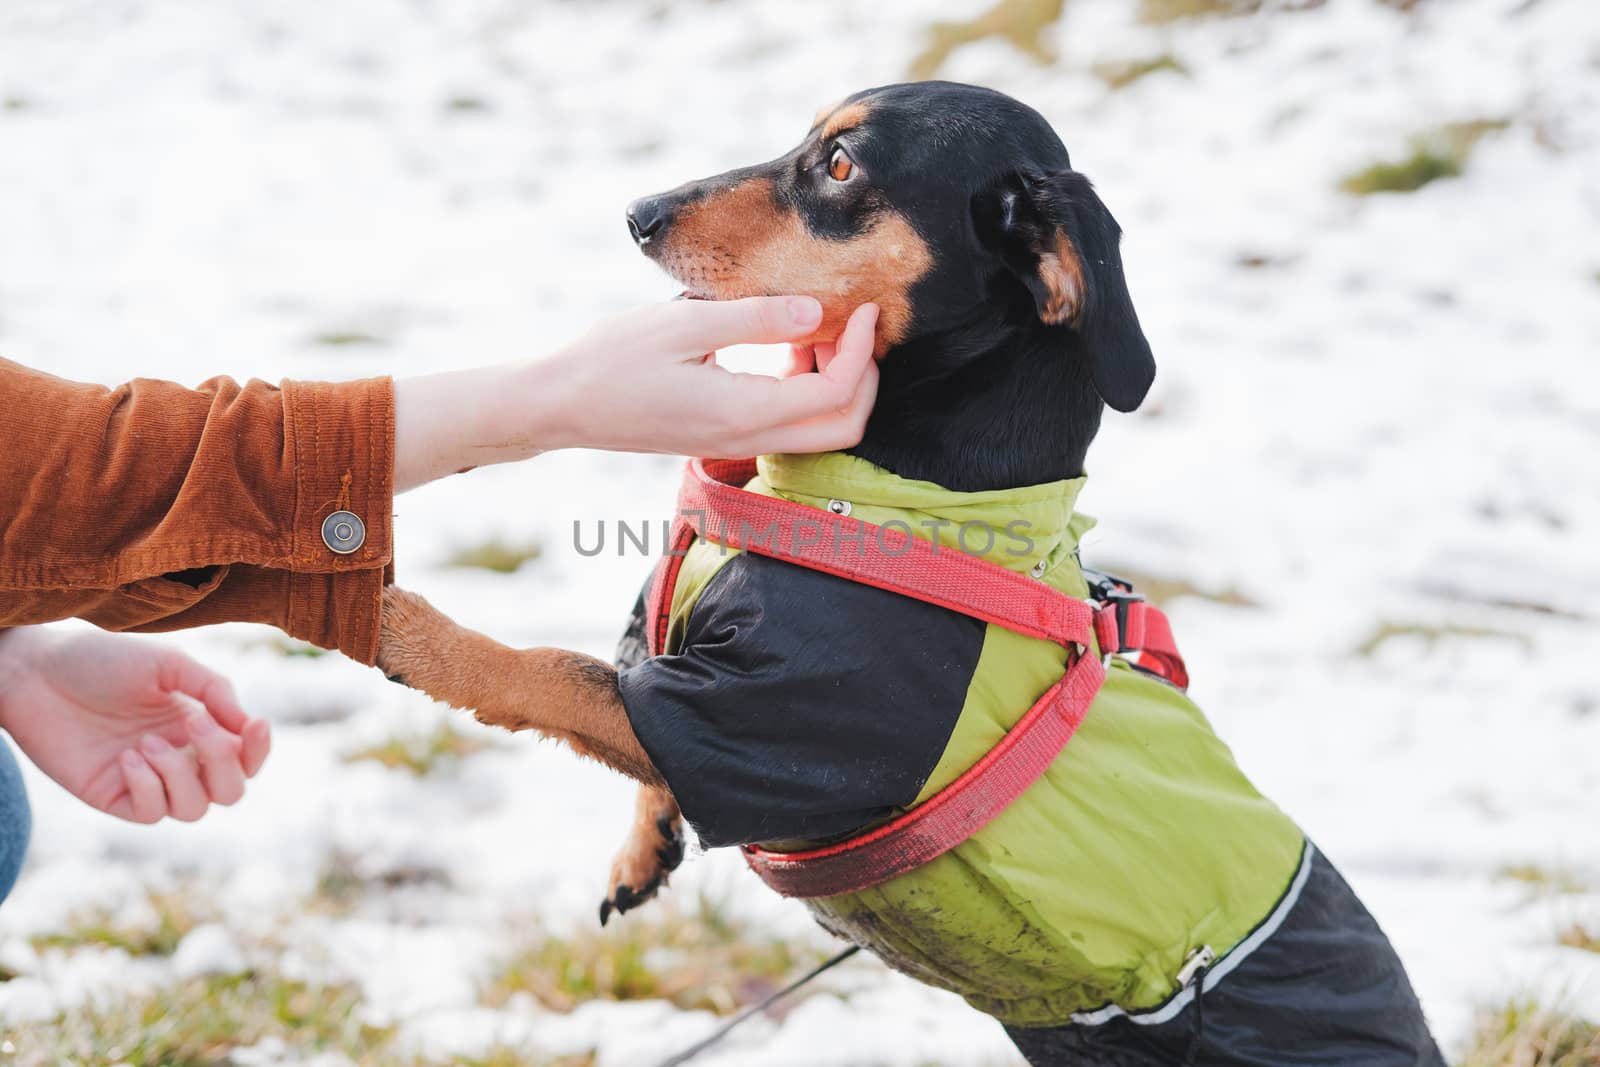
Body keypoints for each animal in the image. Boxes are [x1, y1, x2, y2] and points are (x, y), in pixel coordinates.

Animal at [380, 83, 1446, 1067]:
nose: (639, 212)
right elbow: (615, 672)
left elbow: (547, 671)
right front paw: (642, 851)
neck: (893, 486)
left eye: (841, 163)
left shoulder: (761, 726)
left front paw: (406, 628)